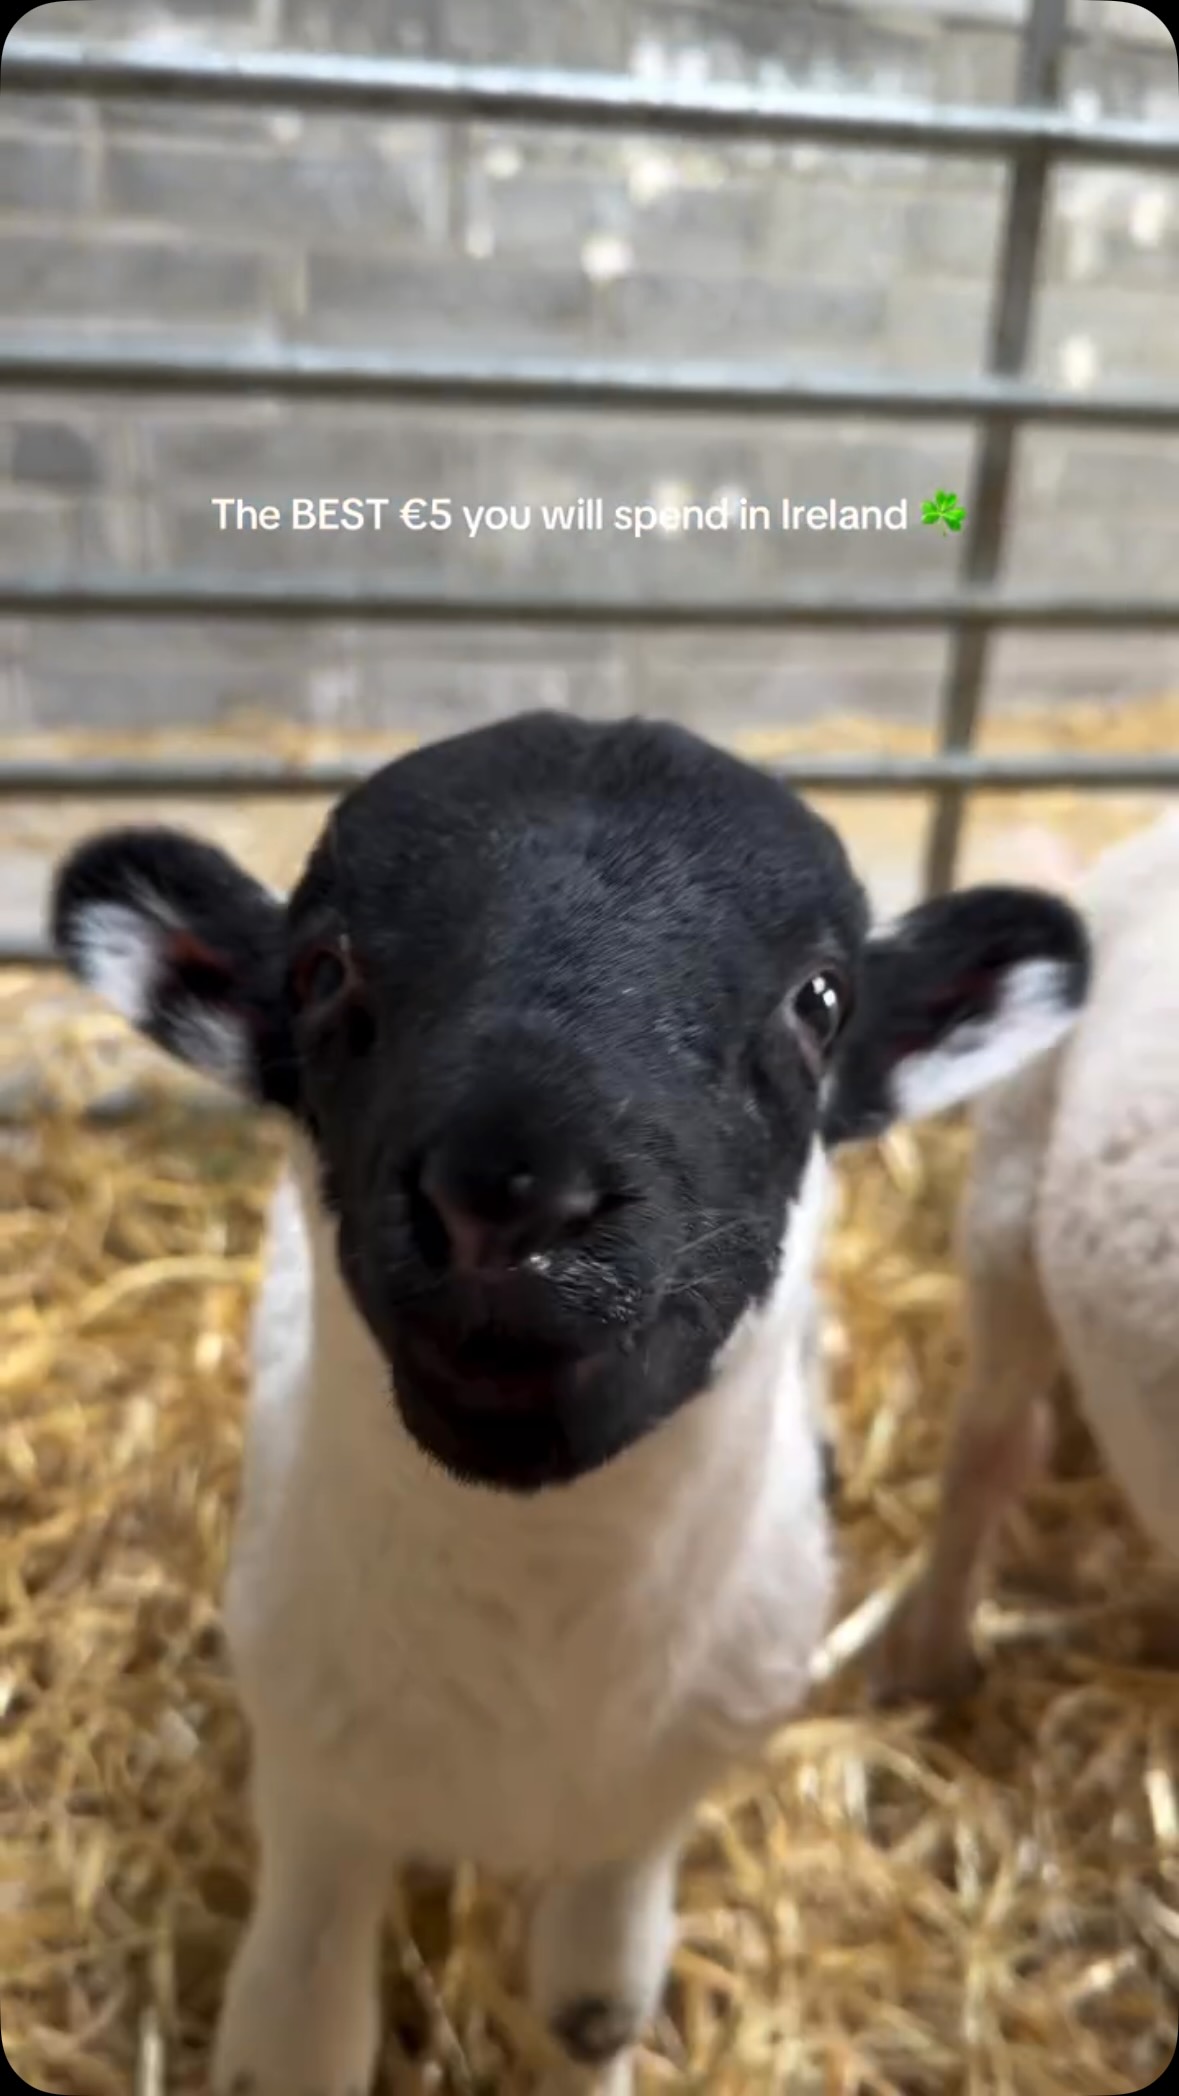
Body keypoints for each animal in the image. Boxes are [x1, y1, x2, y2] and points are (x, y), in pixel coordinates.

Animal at [50, 712, 1091, 2096]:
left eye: (820, 1001)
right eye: (322, 971)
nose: (511, 1191)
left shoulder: (647, 1812)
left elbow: (596, 2002)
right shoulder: (315, 1787)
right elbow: (300, 2037)